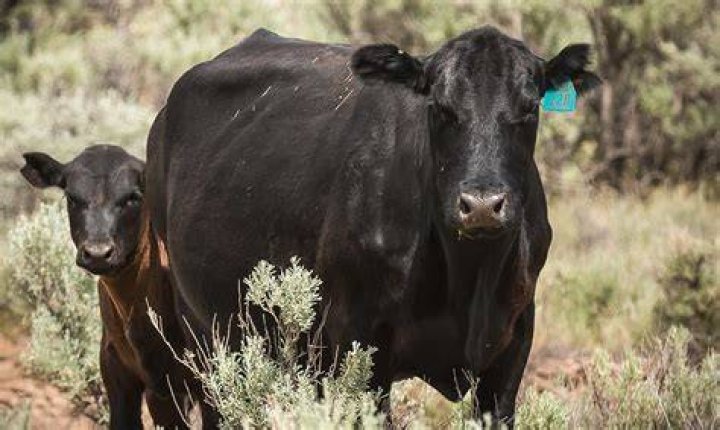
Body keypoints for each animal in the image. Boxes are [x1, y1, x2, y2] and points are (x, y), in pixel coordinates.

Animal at [146, 26, 599, 425]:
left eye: (529, 108)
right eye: (440, 108)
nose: (483, 206)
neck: (468, 277)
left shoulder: (512, 343)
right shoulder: (360, 341)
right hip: (204, 333)